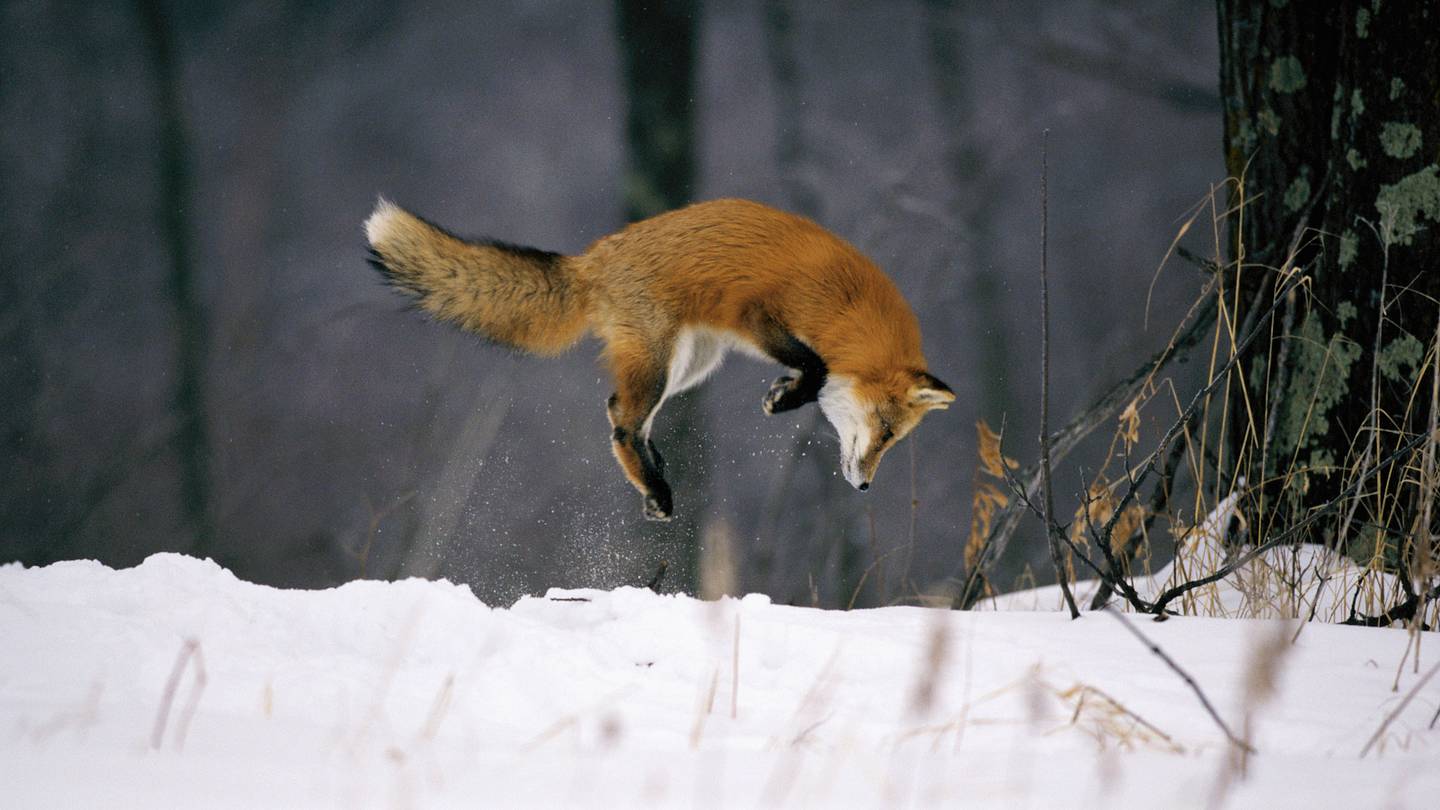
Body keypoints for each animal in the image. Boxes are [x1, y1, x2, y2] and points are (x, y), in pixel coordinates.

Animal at [365, 197, 954, 520]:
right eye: (885, 431)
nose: (865, 487)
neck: (848, 312)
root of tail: (593, 259)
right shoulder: (757, 312)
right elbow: (817, 366)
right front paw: (785, 397)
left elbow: (813, 368)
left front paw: (784, 392)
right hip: (661, 361)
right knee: (624, 423)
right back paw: (656, 487)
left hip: (691, 364)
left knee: (616, 410)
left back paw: (654, 481)